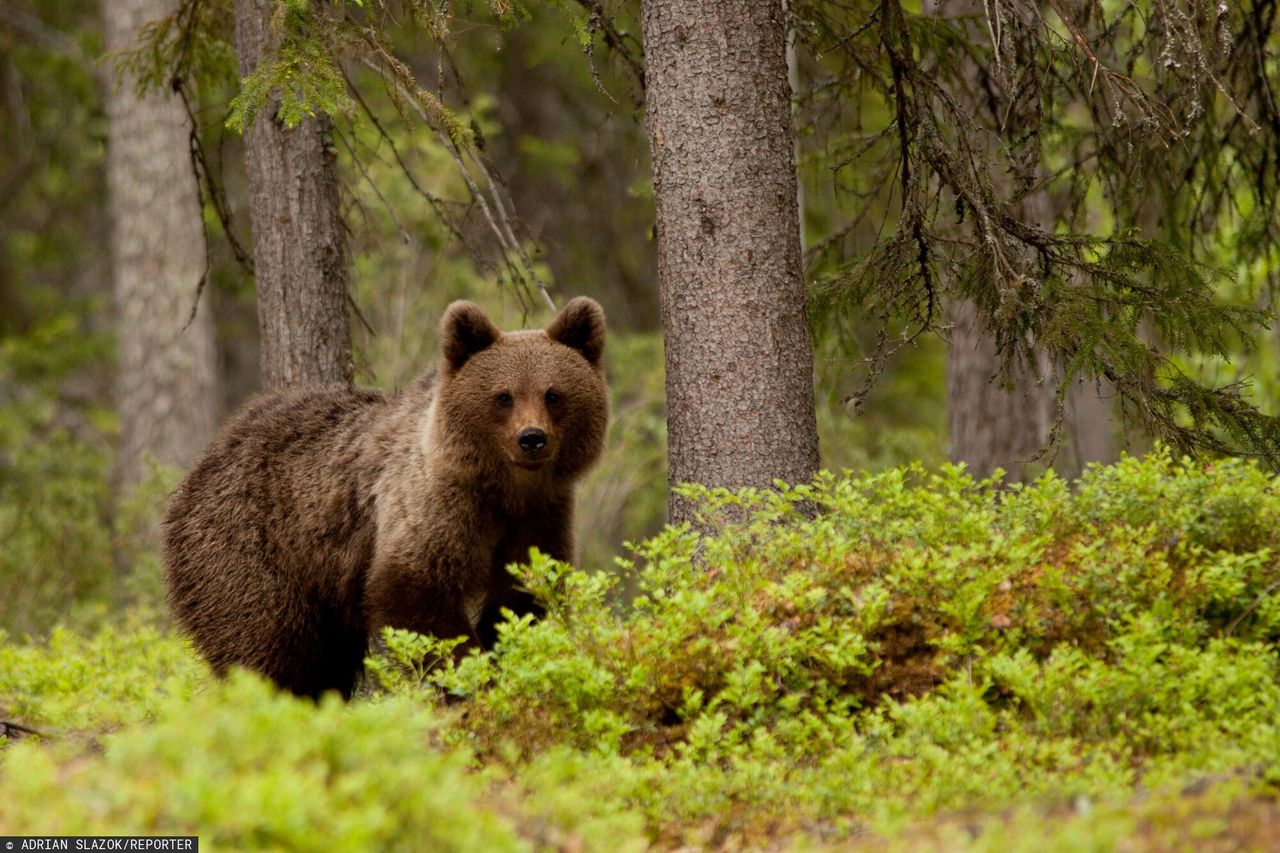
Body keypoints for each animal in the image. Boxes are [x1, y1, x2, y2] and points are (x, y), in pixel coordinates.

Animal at [161, 295, 609, 696]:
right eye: (503, 396)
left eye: (554, 394)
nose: (531, 438)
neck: (504, 489)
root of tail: (202, 464)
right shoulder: (434, 504)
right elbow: (415, 592)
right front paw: (468, 674)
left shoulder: (540, 514)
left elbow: (524, 595)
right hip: (250, 545)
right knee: (266, 645)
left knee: (328, 660)